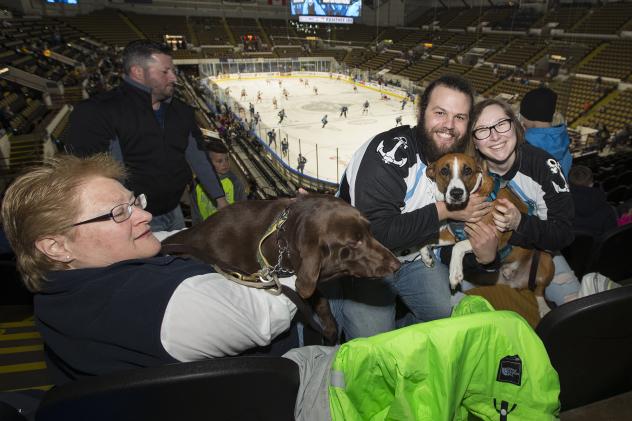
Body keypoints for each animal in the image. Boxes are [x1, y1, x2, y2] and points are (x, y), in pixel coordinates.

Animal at [424, 153, 552, 314]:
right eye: (444, 171)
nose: (456, 193)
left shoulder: (490, 236)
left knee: (540, 290)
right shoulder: (453, 234)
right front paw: (425, 256)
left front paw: (455, 273)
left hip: (546, 262)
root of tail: (518, 284)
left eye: (468, 170)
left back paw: (543, 307)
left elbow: (458, 247)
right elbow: (429, 241)